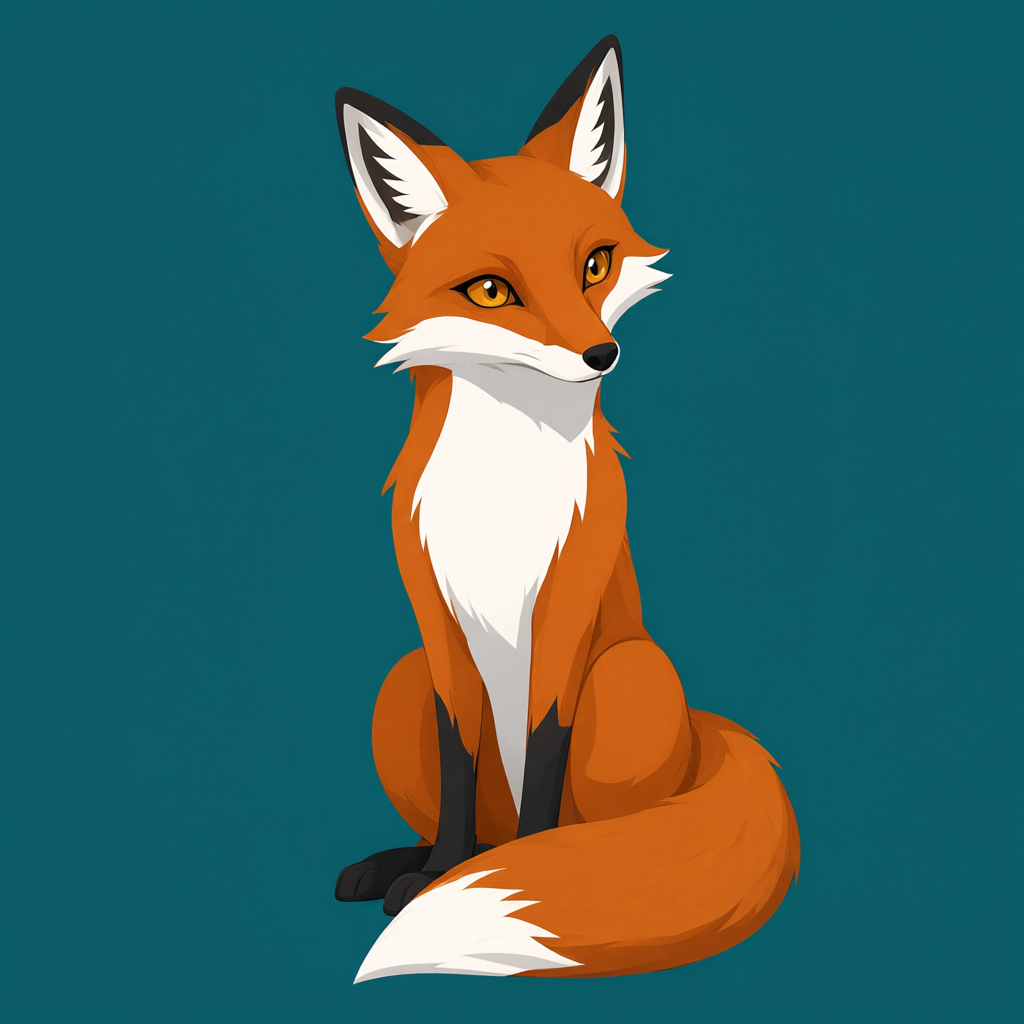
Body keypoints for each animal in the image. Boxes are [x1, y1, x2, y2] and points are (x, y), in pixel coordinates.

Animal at [333, 36, 800, 981]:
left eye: (595, 265)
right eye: (489, 291)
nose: (601, 353)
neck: (503, 486)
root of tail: (703, 734)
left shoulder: (567, 606)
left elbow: (544, 754)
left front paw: (530, 871)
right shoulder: (435, 621)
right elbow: (459, 756)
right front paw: (439, 872)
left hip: (628, 674)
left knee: (607, 829)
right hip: (400, 678)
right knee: (474, 823)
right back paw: (418, 866)